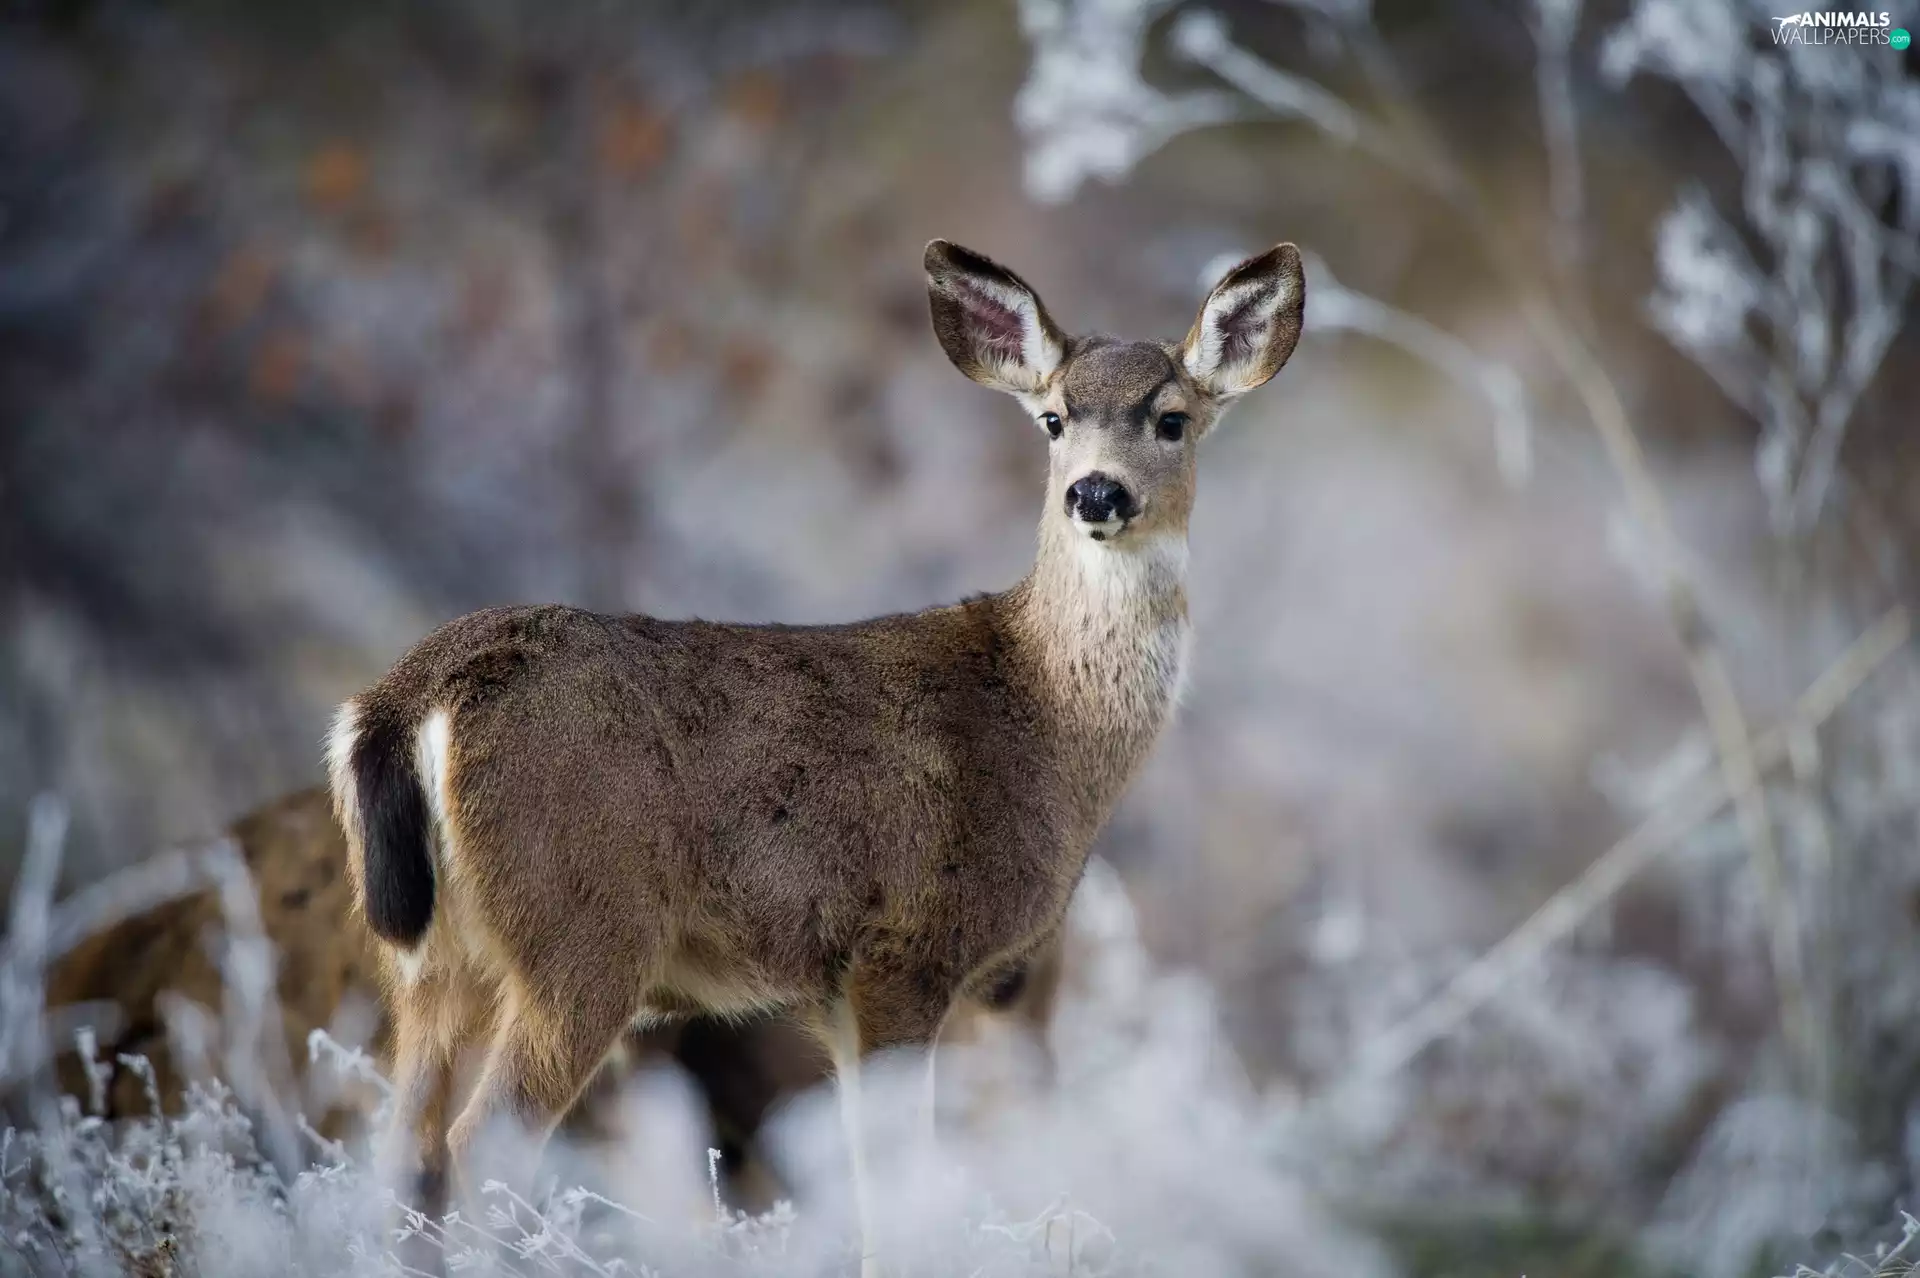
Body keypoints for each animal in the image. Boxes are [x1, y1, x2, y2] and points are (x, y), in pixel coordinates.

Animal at [326, 238, 1305, 1274]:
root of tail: (404, 700)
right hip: (582, 928)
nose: (1097, 493)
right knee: (478, 1144)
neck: (1047, 721)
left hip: (431, 963)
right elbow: (896, 1188)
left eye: (1172, 419)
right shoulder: (907, 948)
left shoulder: (836, 988)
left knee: (400, 1154)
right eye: (1053, 419)